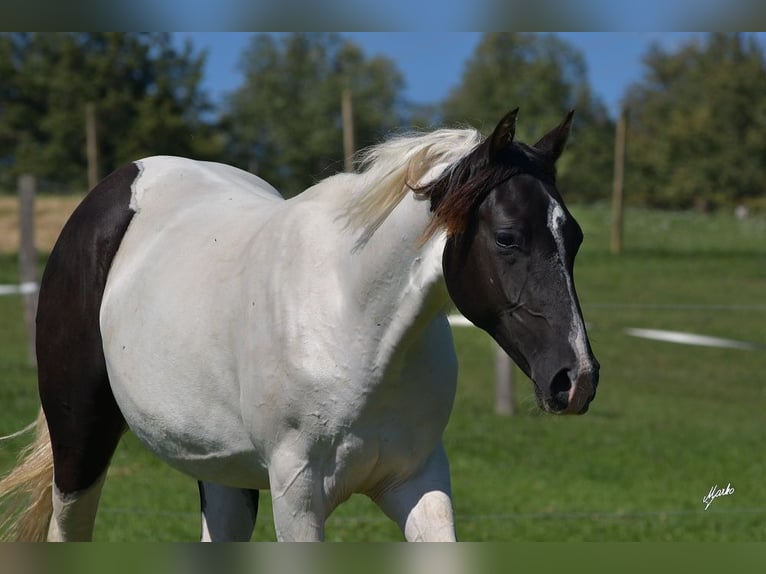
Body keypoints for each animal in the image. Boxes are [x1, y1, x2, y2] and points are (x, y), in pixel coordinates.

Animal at [0, 109, 600, 544]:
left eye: (573, 237)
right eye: (507, 237)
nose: (577, 380)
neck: (356, 324)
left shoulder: (419, 482)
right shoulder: (297, 496)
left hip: (223, 476)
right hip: (80, 444)